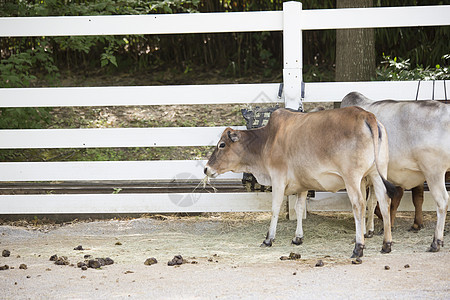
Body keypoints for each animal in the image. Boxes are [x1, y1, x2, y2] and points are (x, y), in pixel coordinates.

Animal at [204, 106, 394, 256]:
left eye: (222, 145)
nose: (206, 168)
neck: (268, 140)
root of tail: (365, 115)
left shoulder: (278, 179)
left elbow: (275, 208)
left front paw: (268, 239)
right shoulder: (303, 184)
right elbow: (299, 208)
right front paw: (297, 237)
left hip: (352, 178)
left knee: (359, 205)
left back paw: (358, 247)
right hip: (377, 174)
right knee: (384, 201)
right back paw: (386, 245)